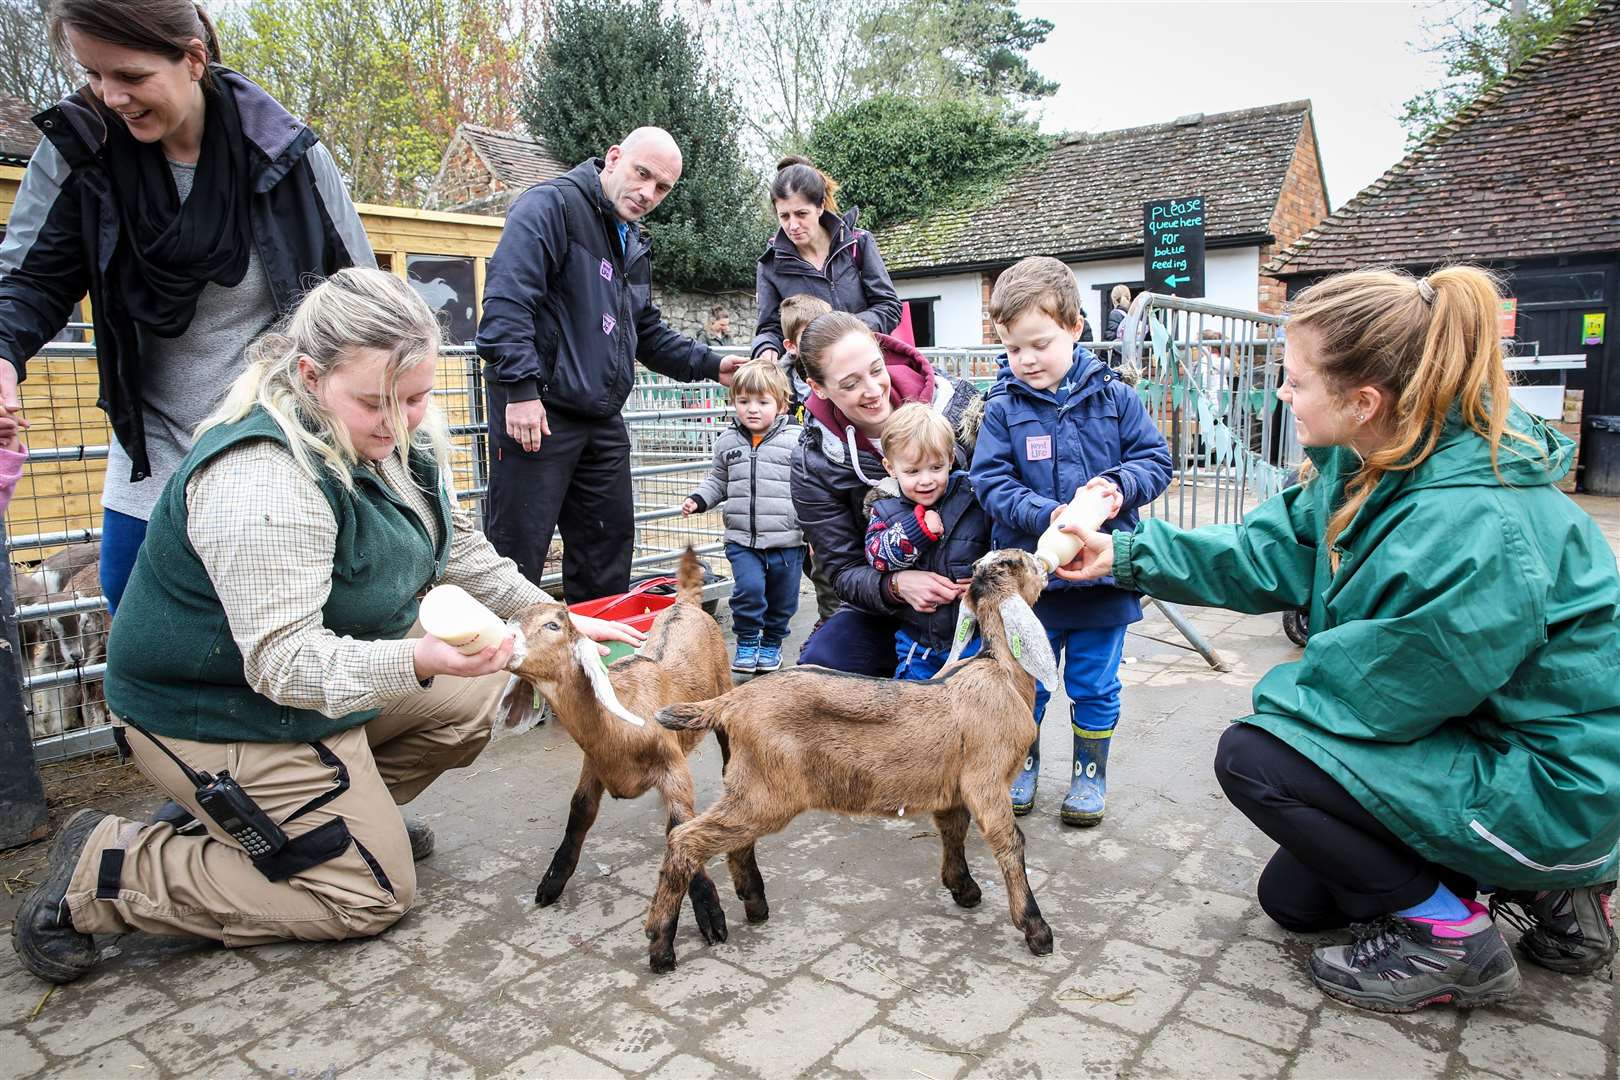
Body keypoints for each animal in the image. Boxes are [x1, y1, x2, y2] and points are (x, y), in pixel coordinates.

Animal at [502, 550, 738, 945]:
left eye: (553, 625)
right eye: (510, 619)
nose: (502, 642)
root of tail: (685, 603)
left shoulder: (673, 769)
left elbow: (680, 826)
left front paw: (710, 914)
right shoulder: (594, 763)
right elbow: (580, 811)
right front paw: (551, 883)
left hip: (723, 682)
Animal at [644, 550, 1062, 971]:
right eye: (1021, 563)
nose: (1045, 565)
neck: (1001, 670)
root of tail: (731, 702)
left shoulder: (954, 785)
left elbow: (953, 829)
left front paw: (964, 889)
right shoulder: (986, 780)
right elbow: (1009, 843)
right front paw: (1036, 929)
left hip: (751, 785)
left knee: (731, 841)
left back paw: (754, 903)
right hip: (766, 792)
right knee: (685, 839)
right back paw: (662, 946)